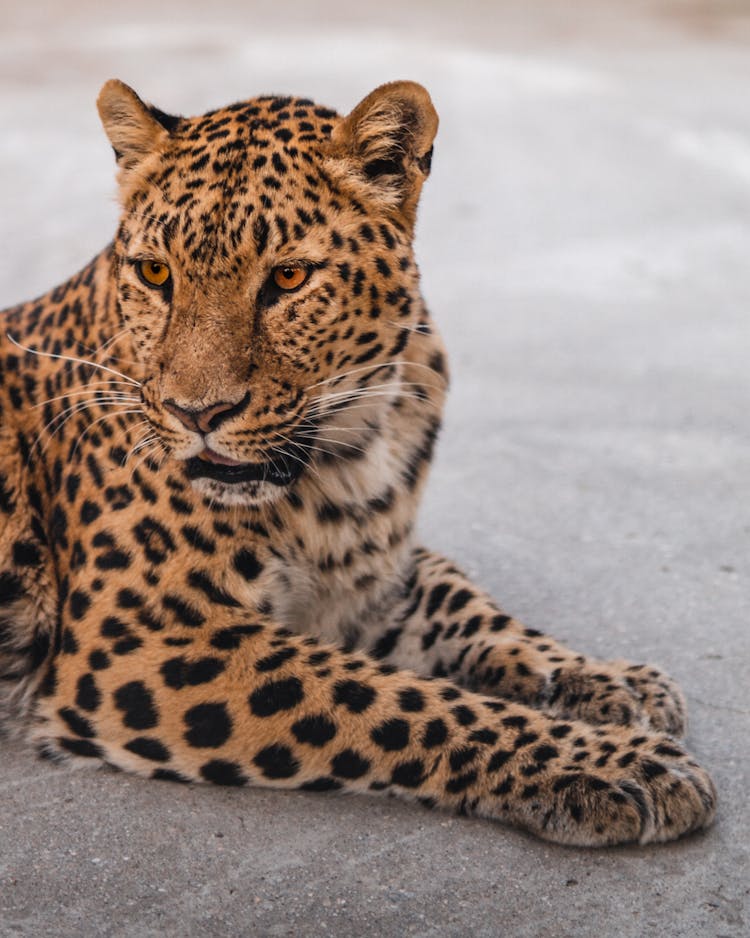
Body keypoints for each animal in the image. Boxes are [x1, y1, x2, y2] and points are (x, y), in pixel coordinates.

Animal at [0, 78, 716, 840]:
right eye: (156, 273)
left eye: (288, 277)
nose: (196, 414)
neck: (347, 452)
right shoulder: (147, 635)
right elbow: (401, 700)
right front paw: (616, 764)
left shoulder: (374, 574)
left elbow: (473, 607)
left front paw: (611, 681)